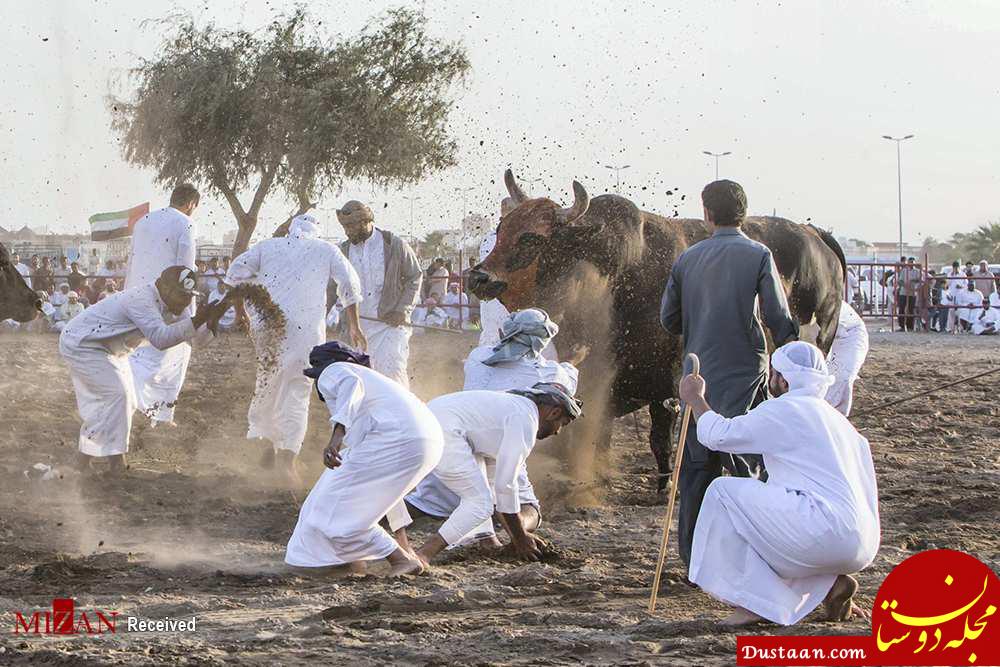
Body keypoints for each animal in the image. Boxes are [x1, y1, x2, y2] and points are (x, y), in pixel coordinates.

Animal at [468, 171, 844, 496]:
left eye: (532, 238)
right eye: (501, 228)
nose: (479, 277)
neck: (620, 269)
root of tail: (814, 234)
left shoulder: (669, 382)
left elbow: (661, 437)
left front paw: (665, 485)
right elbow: (601, 432)